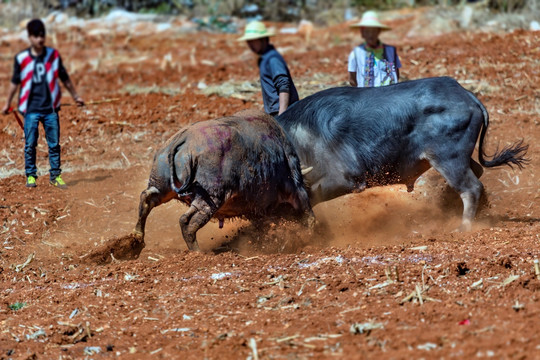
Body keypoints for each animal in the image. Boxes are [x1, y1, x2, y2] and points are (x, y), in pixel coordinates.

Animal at [132, 109, 314, 250]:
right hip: (212, 197)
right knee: (186, 221)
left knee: (147, 198)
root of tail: (183, 140)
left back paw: (137, 237)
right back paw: (197, 252)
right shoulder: (296, 187)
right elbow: (307, 210)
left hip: (162, 185)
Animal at [276, 76, 528, 231]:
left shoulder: (344, 180)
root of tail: (467, 95)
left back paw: (463, 226)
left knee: (471, 187)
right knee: (476, 173)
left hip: (448, 159)